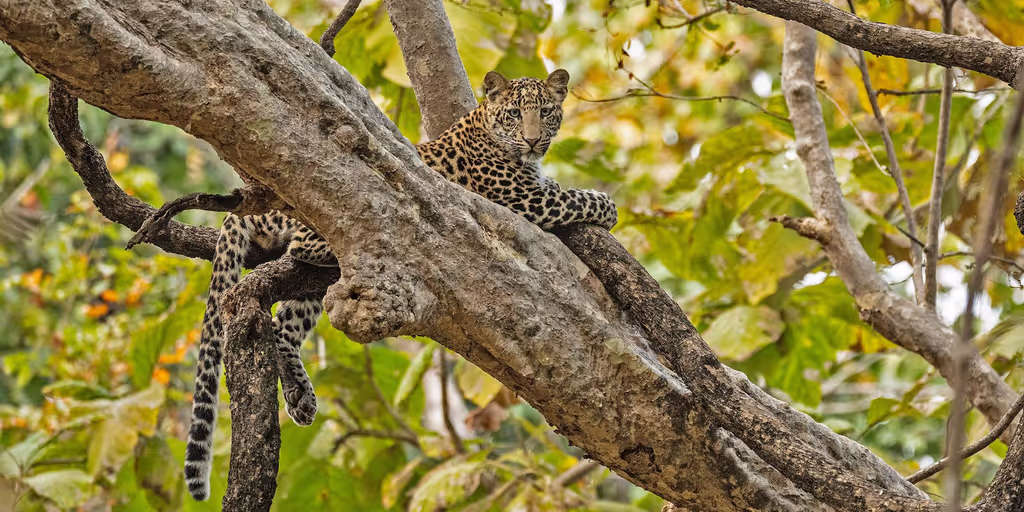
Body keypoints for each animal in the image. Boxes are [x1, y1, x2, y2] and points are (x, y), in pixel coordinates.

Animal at [183, 69, 618, 501]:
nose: (531, 139)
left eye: (545, 112)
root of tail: (250, 202)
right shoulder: (520, 199)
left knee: (281, 326)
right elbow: (576, 198)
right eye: (514, 114)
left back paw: (300, 396)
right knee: (304, 248)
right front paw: (607, 206)